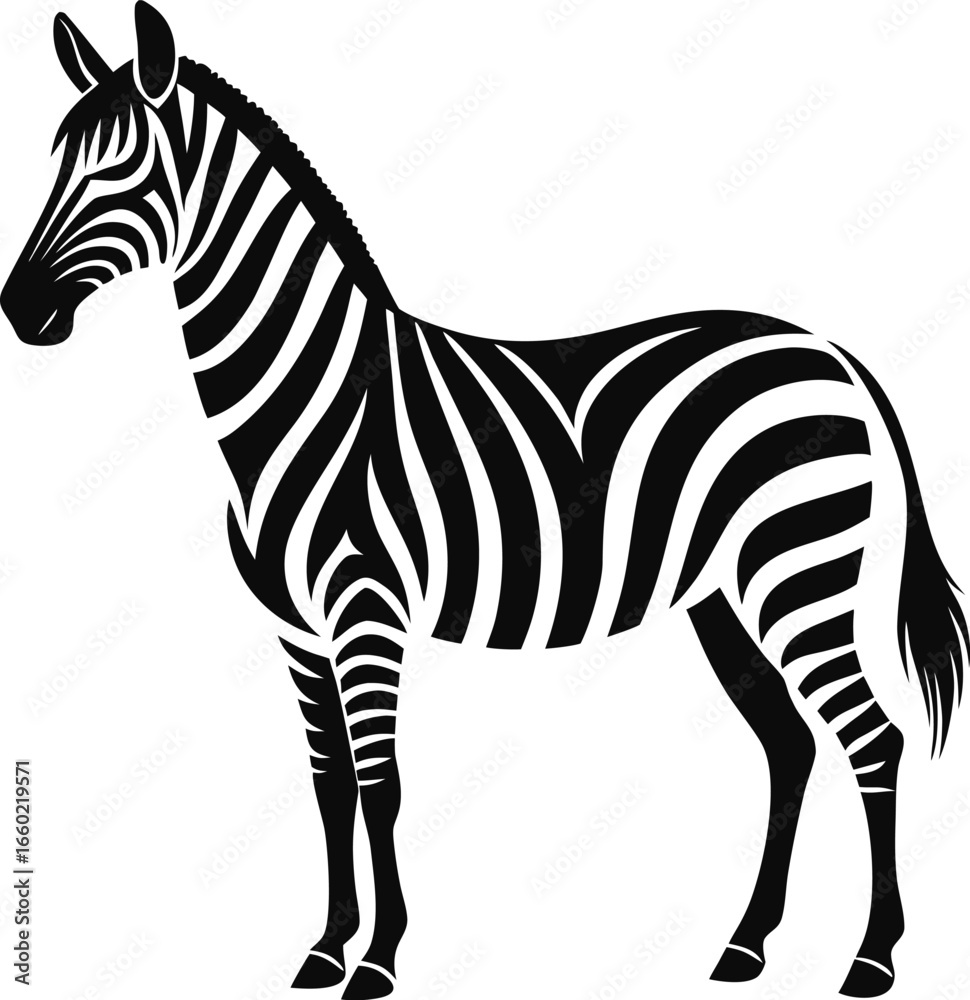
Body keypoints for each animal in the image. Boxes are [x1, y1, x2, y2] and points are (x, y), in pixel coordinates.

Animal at [2, 5, 966, 999]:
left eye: (121, 170)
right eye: (54, 160)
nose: (18, 310)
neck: (311, 396)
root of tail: (830, 352)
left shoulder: (366, 613)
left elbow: (381, 784)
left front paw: (378, 960)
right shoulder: (297, 629)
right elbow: (328, 783)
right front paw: (324, 949)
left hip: (800, 574)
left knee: (872, 739)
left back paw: (871, 958)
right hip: (724, 594)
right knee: (789, 744)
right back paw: (745, 946)